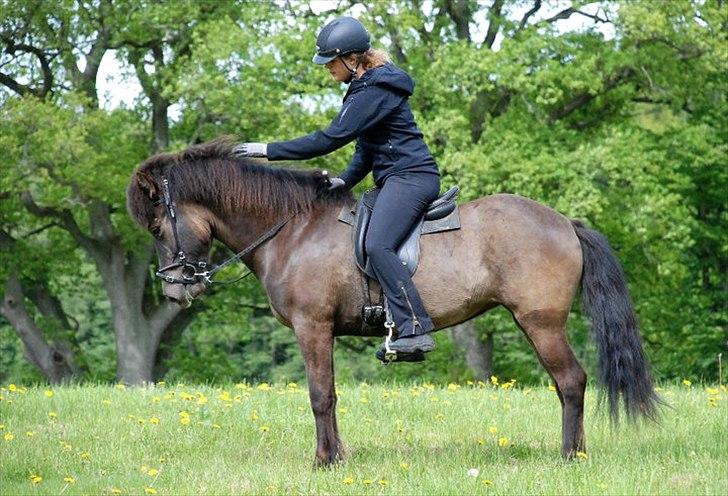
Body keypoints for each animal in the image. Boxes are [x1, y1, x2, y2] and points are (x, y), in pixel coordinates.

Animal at [125, 138, 660, 466]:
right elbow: (330, 394)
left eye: (159, 227)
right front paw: (337, 457)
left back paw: (571, 456)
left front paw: (323, 462)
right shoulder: (323, 332)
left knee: (571, 381)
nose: (175, 289)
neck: (293, 228)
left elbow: (320, 396)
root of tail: (565, 222)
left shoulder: (312, 327)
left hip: (540, 323)